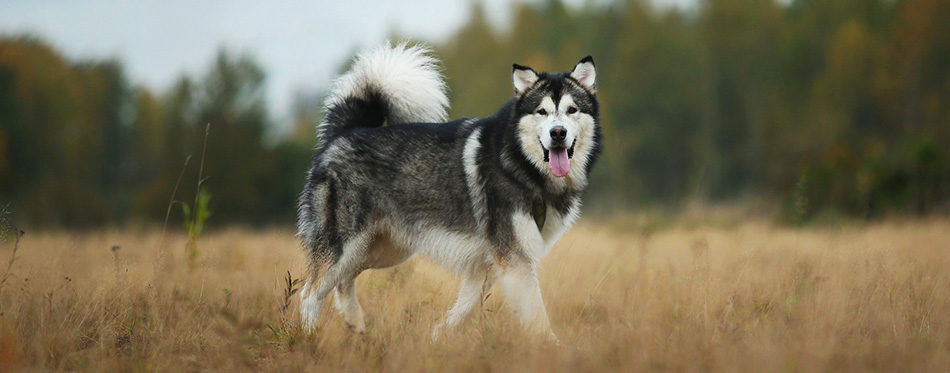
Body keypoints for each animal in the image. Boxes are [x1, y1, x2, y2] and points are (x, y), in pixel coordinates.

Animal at [300, 41, 604, 340]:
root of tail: (345, 131)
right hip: (344, 246)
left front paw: (438, 338)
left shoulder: (491, 264)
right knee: (311, 293)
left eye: (572, 110)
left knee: (342, 282)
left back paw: (356, 325)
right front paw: (553, 349)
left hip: (381, 251)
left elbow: (463, 309)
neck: (522, 165)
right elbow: (537, 317)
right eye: (542, 112)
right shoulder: (514, 259)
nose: (558, 133)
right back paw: (307, 337)